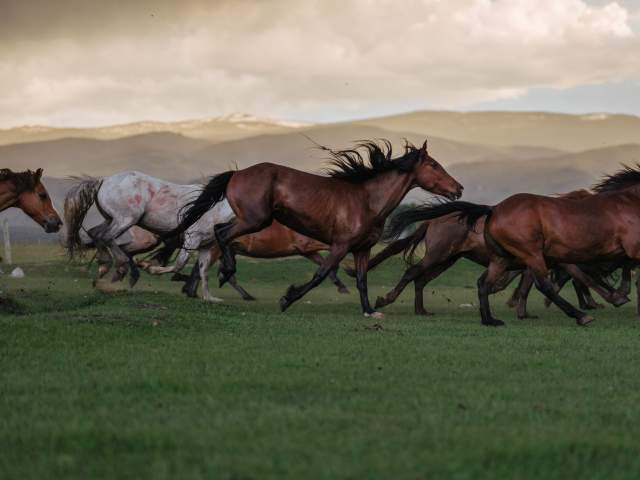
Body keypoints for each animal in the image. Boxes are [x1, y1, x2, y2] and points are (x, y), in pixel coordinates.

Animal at [64, 171, 234, 285]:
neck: (217, 208)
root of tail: (103, 181)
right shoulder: (192, 238)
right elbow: (179, 264)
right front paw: (150, 268)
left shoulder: (206, 245)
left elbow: (202, 269)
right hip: (126, 220)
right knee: (107, 237)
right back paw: (119, 268)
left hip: (111, 219)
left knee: (96, 233)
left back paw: (106, 267)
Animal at [176, 139, 463, 317]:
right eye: (434, 165)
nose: (458, 188)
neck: (367, 201)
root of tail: (236, 173)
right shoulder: (340, 246)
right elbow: (320, 275)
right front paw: (287, 299)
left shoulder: (362, 249)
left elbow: (362, 280)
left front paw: (370, 310)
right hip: (256, 219)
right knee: (222, 233)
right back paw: (226, 272)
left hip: (252, 219)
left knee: (221, 230)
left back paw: (224, 273)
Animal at [393, 165, 640, 326]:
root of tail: (493, 209)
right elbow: (589, 277)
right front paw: (617, 296)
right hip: (520, 254)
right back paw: (581, 316)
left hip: (495, 259)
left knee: (482, 283)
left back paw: (489, 319)